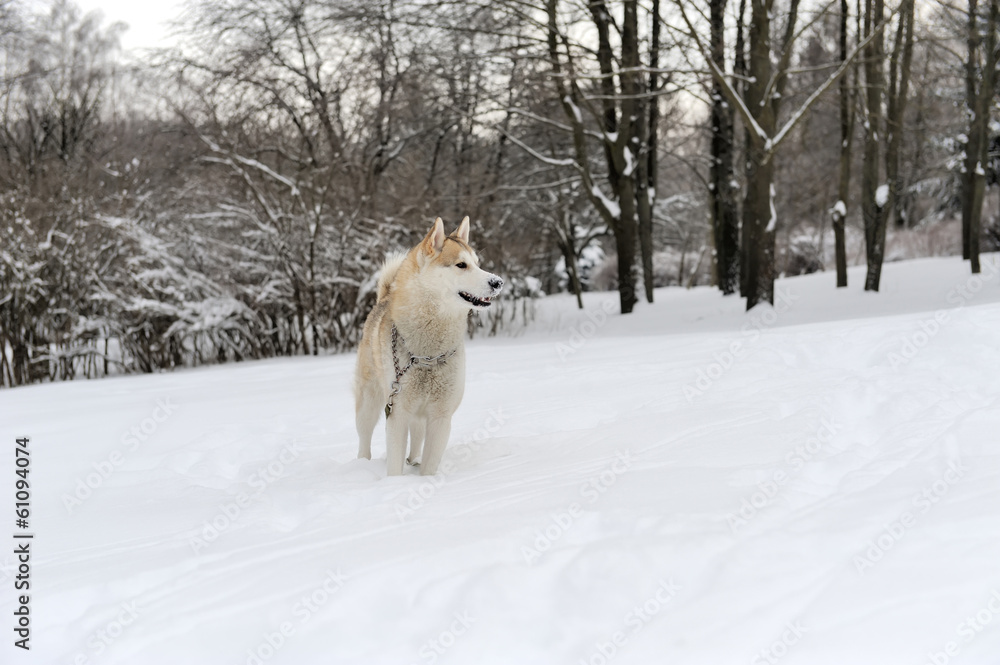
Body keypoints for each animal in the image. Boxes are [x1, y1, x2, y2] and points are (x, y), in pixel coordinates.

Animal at [356, 217, 504, 472]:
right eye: (461, 265)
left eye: (477, 264)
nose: (498, 282)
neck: (427, 356)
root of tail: (383, 299)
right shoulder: (397, 413)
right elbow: (394, 466)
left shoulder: (441, 417)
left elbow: (429, 466)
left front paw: (422, 475)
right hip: (369, 402)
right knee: (364, 437)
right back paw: (361, 465)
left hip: (418, 416)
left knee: (416, 439)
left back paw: (413, 461)